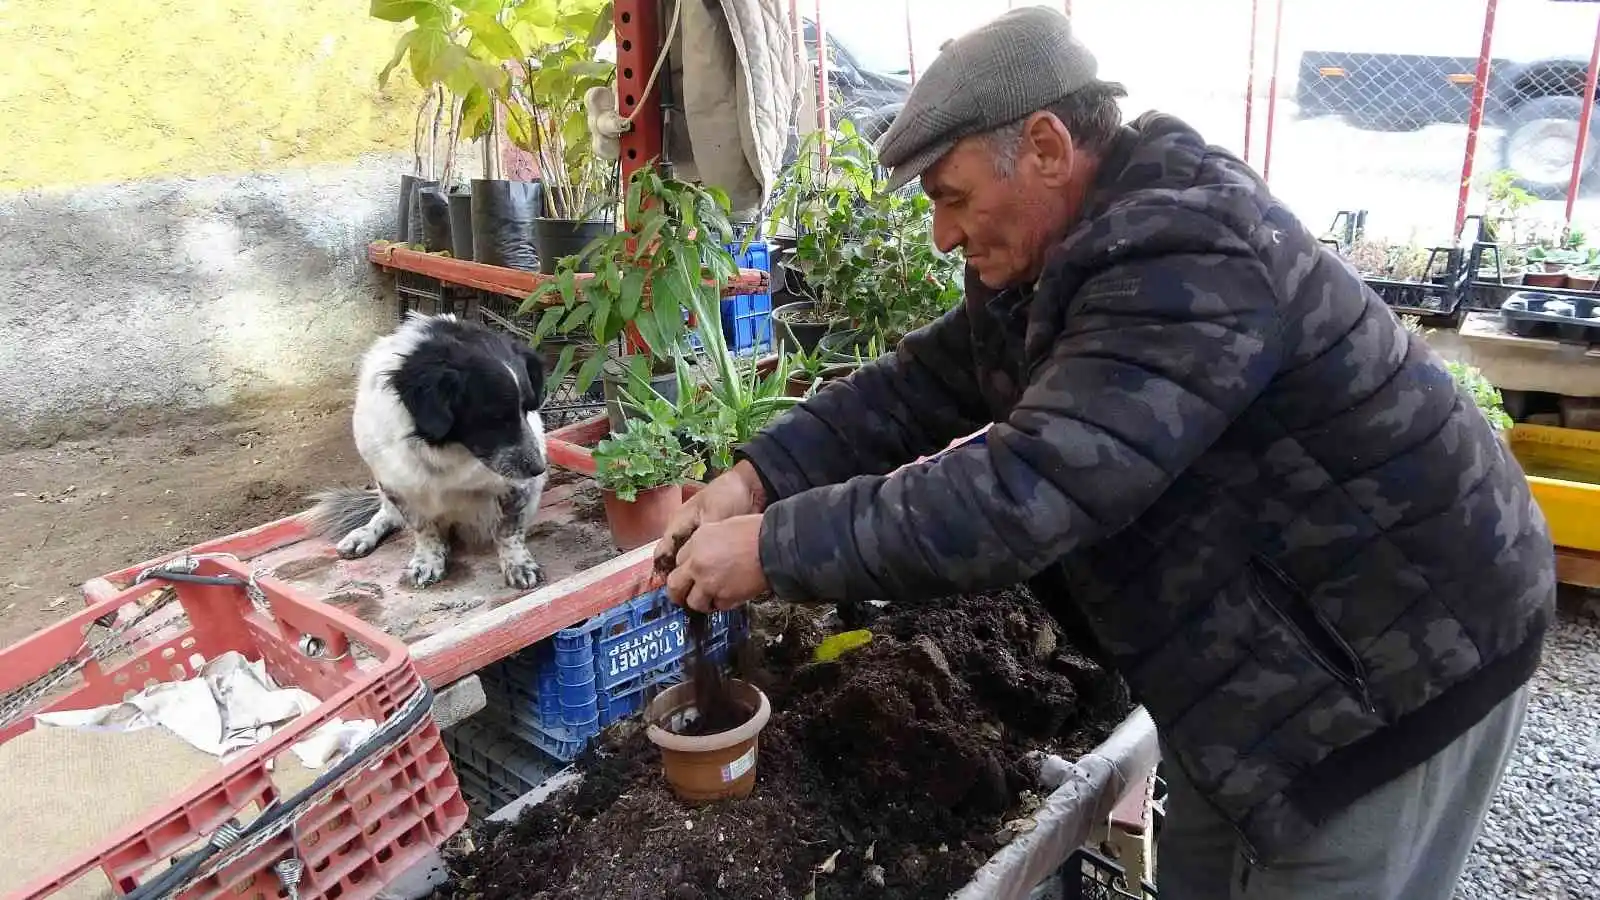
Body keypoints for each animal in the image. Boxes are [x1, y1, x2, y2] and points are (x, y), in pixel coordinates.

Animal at [302, 313, 553, 589]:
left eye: (528, 408)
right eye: (495, 417)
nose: (539, 468)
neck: (446, 450)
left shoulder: (514, 486)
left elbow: (509, 531)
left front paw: (519, 564)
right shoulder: (398, 485)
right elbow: (423, 528)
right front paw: (428, 561)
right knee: (386, 514)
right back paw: (363, 535)